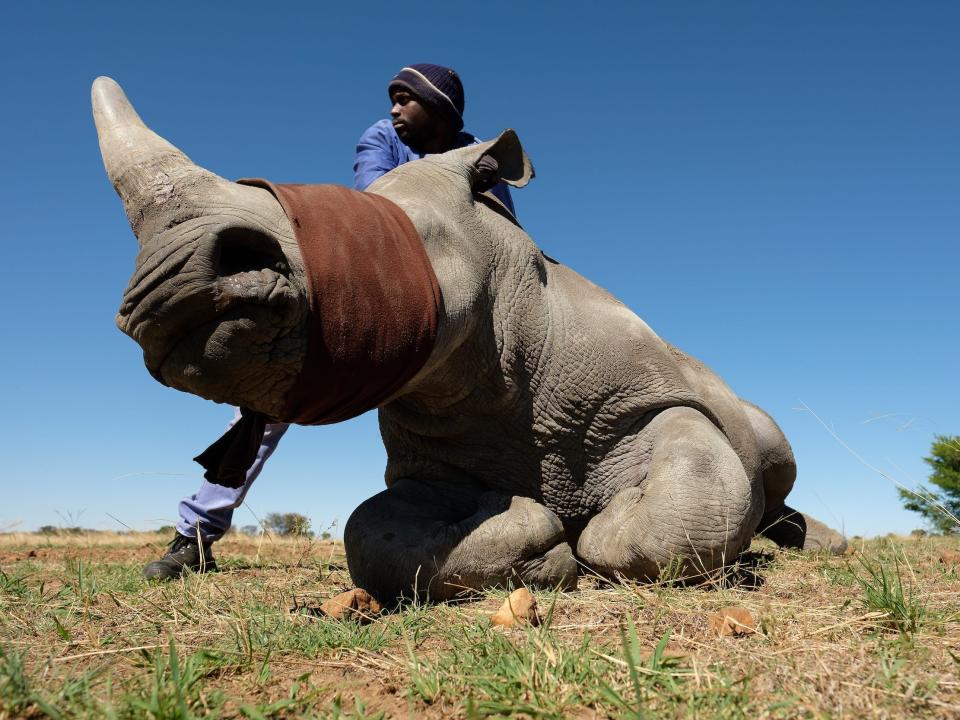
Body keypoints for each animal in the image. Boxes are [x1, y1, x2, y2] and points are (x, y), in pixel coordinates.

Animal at [94, 77, 844, 600]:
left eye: (401, 239)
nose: (167, 290)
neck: (506, 337)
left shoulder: (657, 398)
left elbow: (688, 497)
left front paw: (593, 535)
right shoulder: (433, 454)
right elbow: (371, 535)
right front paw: (535, 539)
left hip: (738, 403)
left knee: (769, 450)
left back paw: (810, 543)